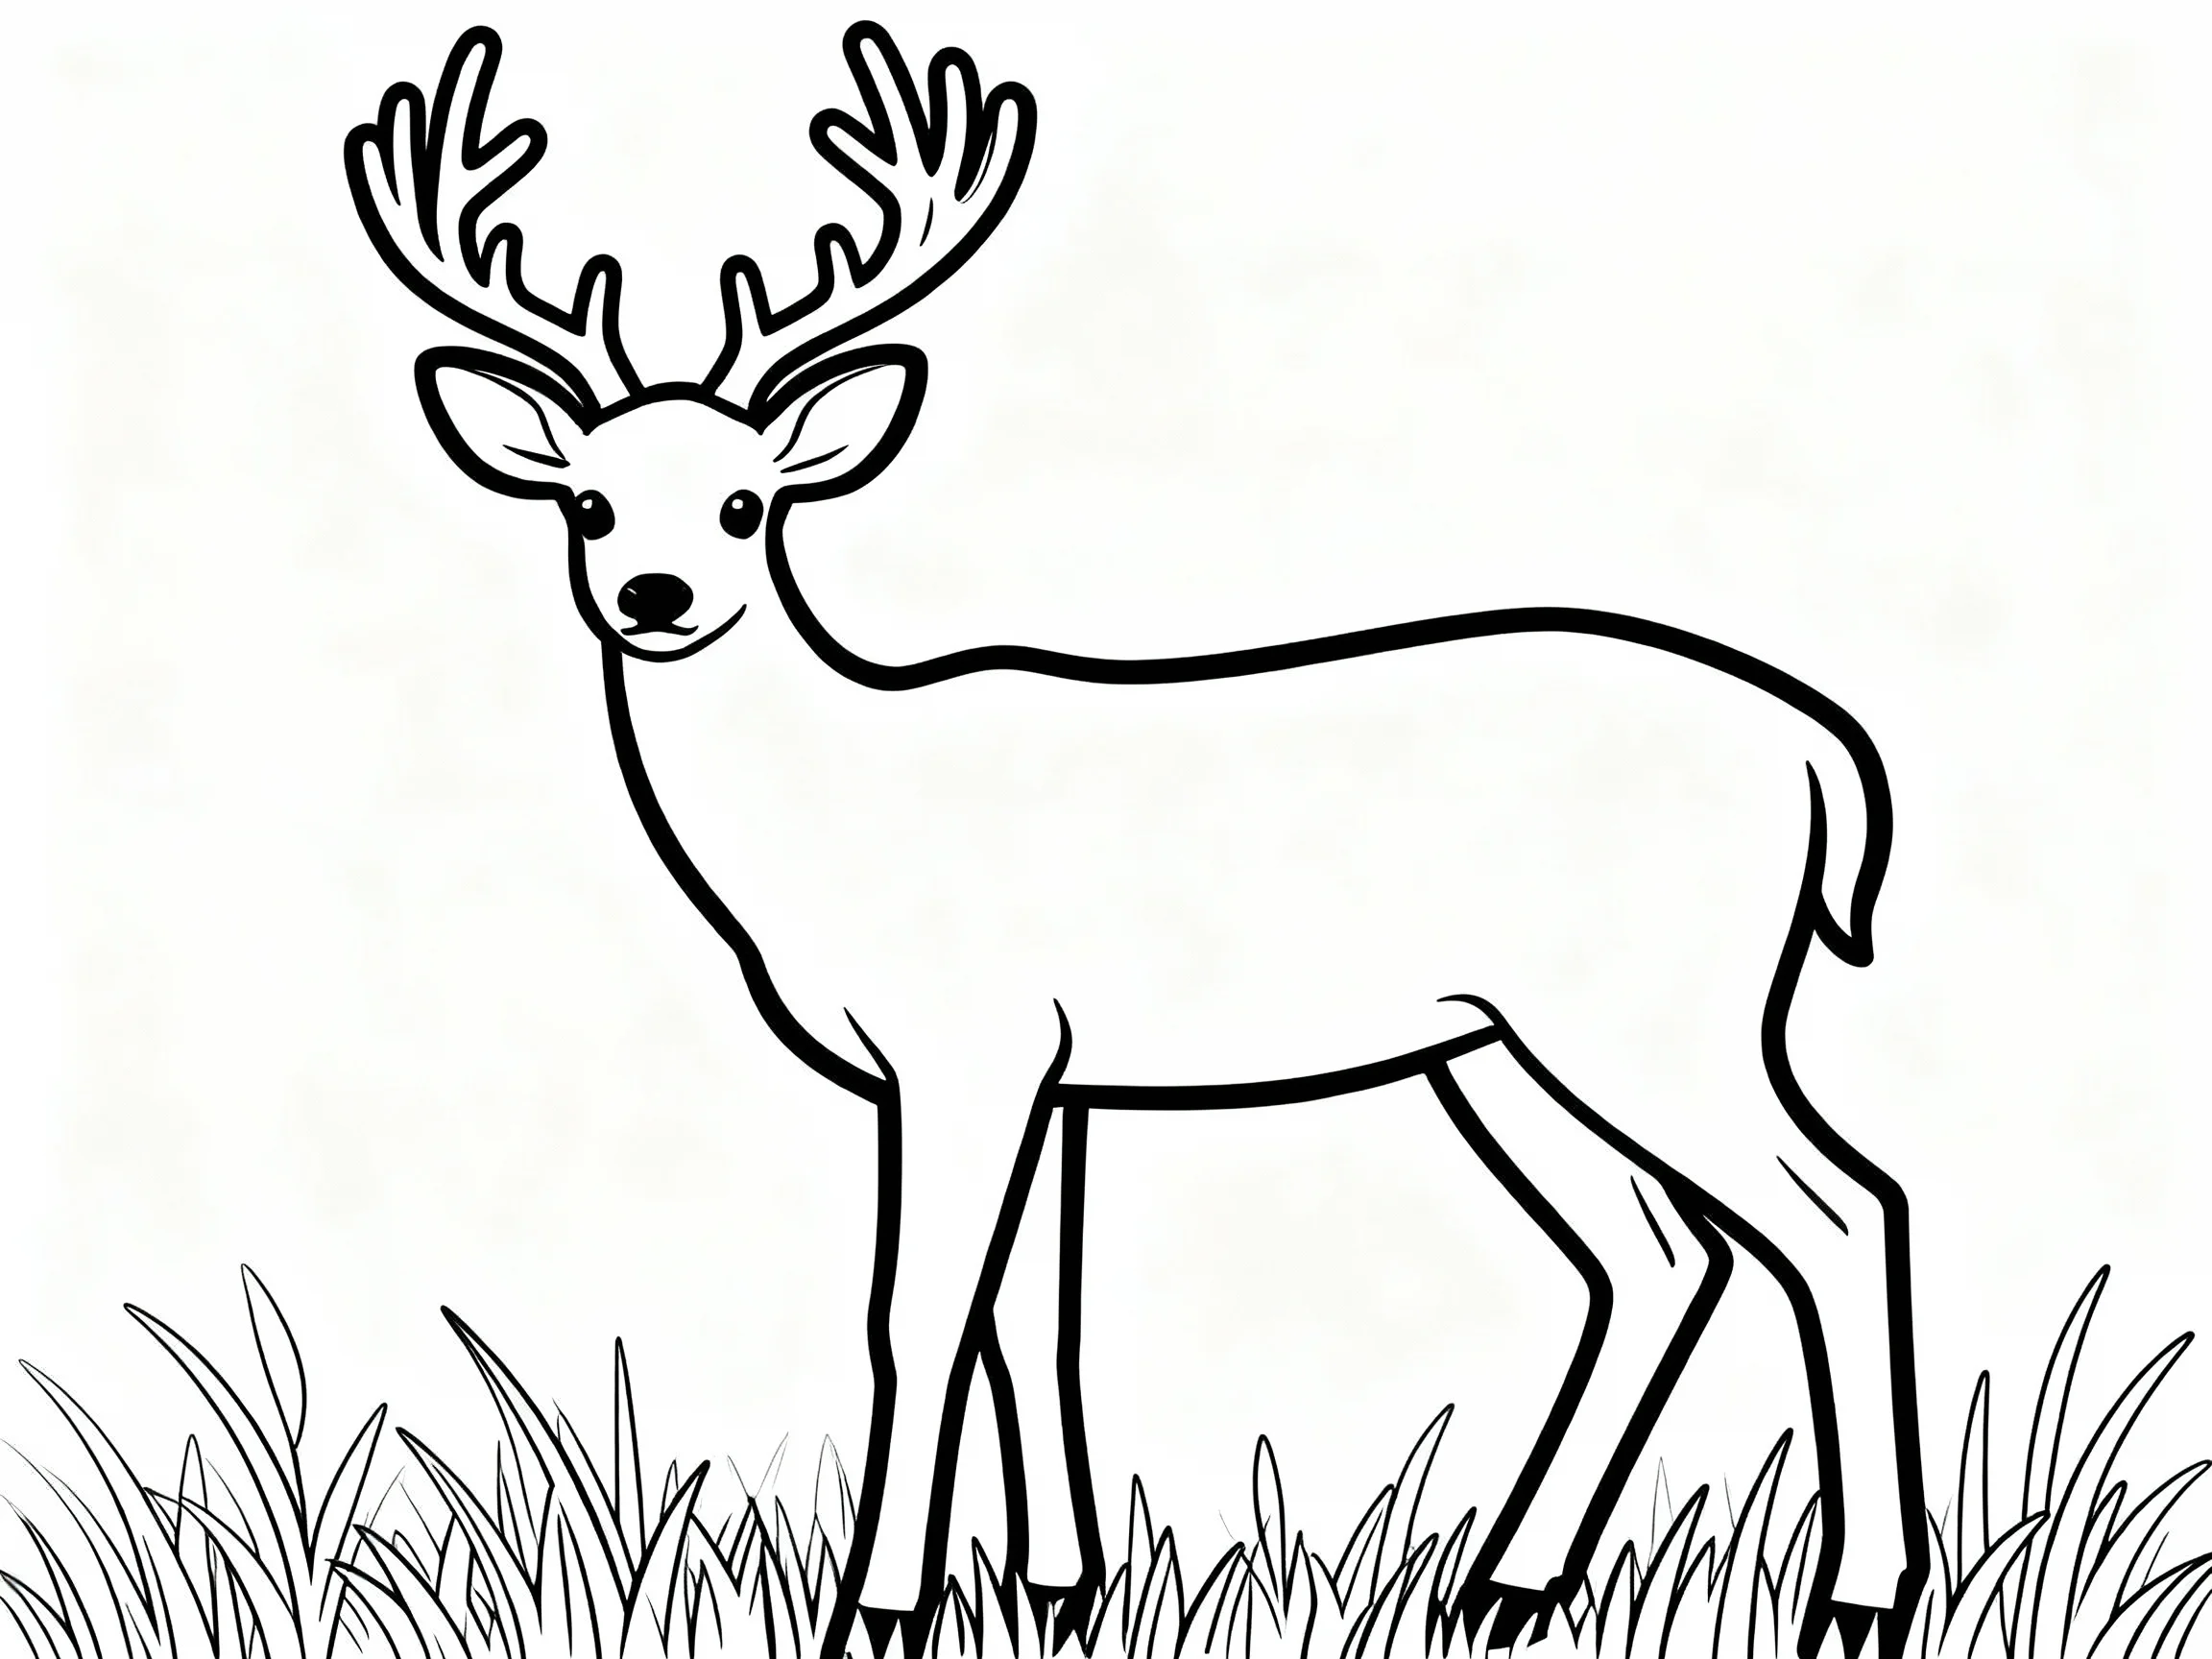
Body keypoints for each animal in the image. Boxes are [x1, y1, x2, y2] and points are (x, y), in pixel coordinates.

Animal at [347, 23, 1926, 1659]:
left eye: (745, 502)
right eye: (588, 501)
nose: (652, 596)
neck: (827, 817)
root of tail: (1825, 750)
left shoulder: (965, 1041)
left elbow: (919, 1314)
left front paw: (880, 1613)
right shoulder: (1055, 1071)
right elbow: (1029, 1318)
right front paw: (1058, 1590)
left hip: (1664, 1008)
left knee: (1839, 1209)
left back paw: (1861, 1594)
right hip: (1497, 1042)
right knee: (1659, 1253)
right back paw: (1505, 1587)